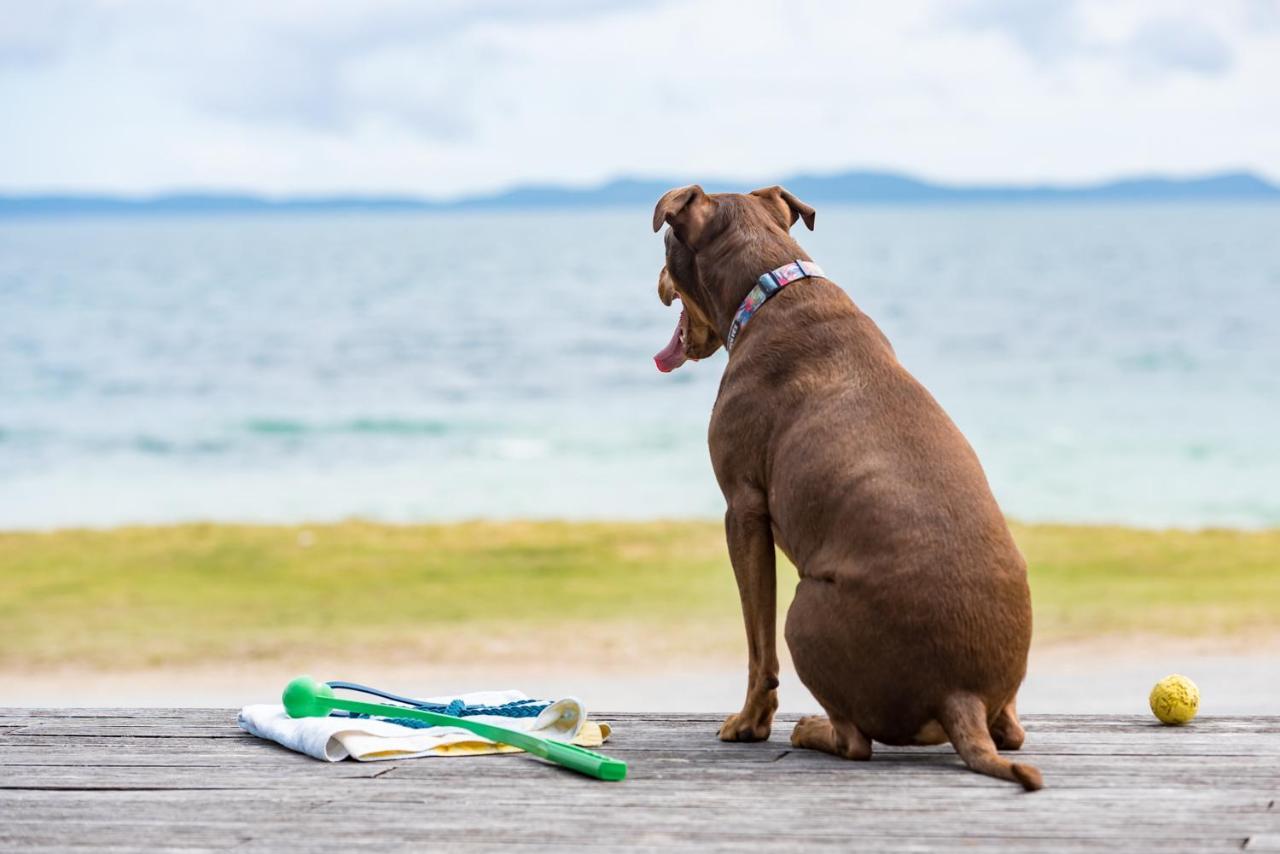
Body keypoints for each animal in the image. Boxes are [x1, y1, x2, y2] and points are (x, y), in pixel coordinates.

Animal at [650, 184, 1039, 793]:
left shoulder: (743, 511)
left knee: (855, 740)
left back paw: (811, 728)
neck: (771, 285)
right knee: (1012, 734)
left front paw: (748, 723)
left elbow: (757, 645)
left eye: (666, 245)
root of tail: (962, 698)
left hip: (803, 611)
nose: (656, 281)